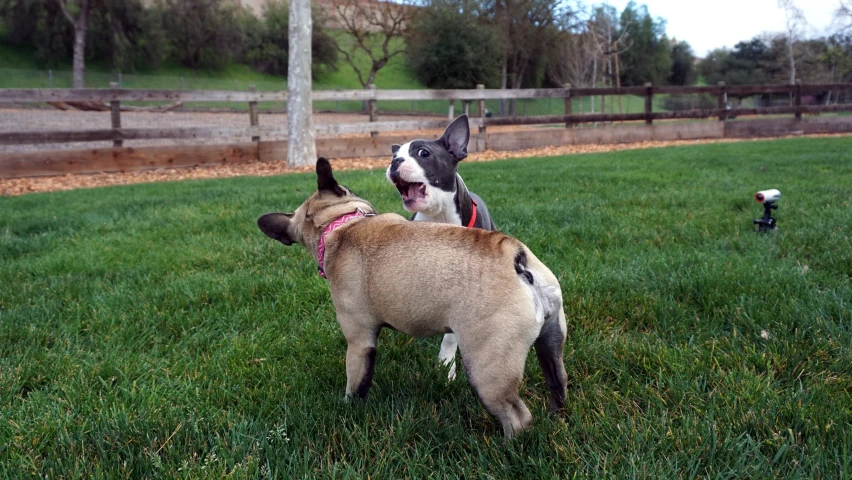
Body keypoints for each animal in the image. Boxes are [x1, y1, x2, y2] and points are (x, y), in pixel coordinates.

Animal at [388, 113, 500, 378]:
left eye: (423, 153)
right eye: (394, 155)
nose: (395, 160)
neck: (438, 216)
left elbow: (450, 336)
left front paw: (446, 366)